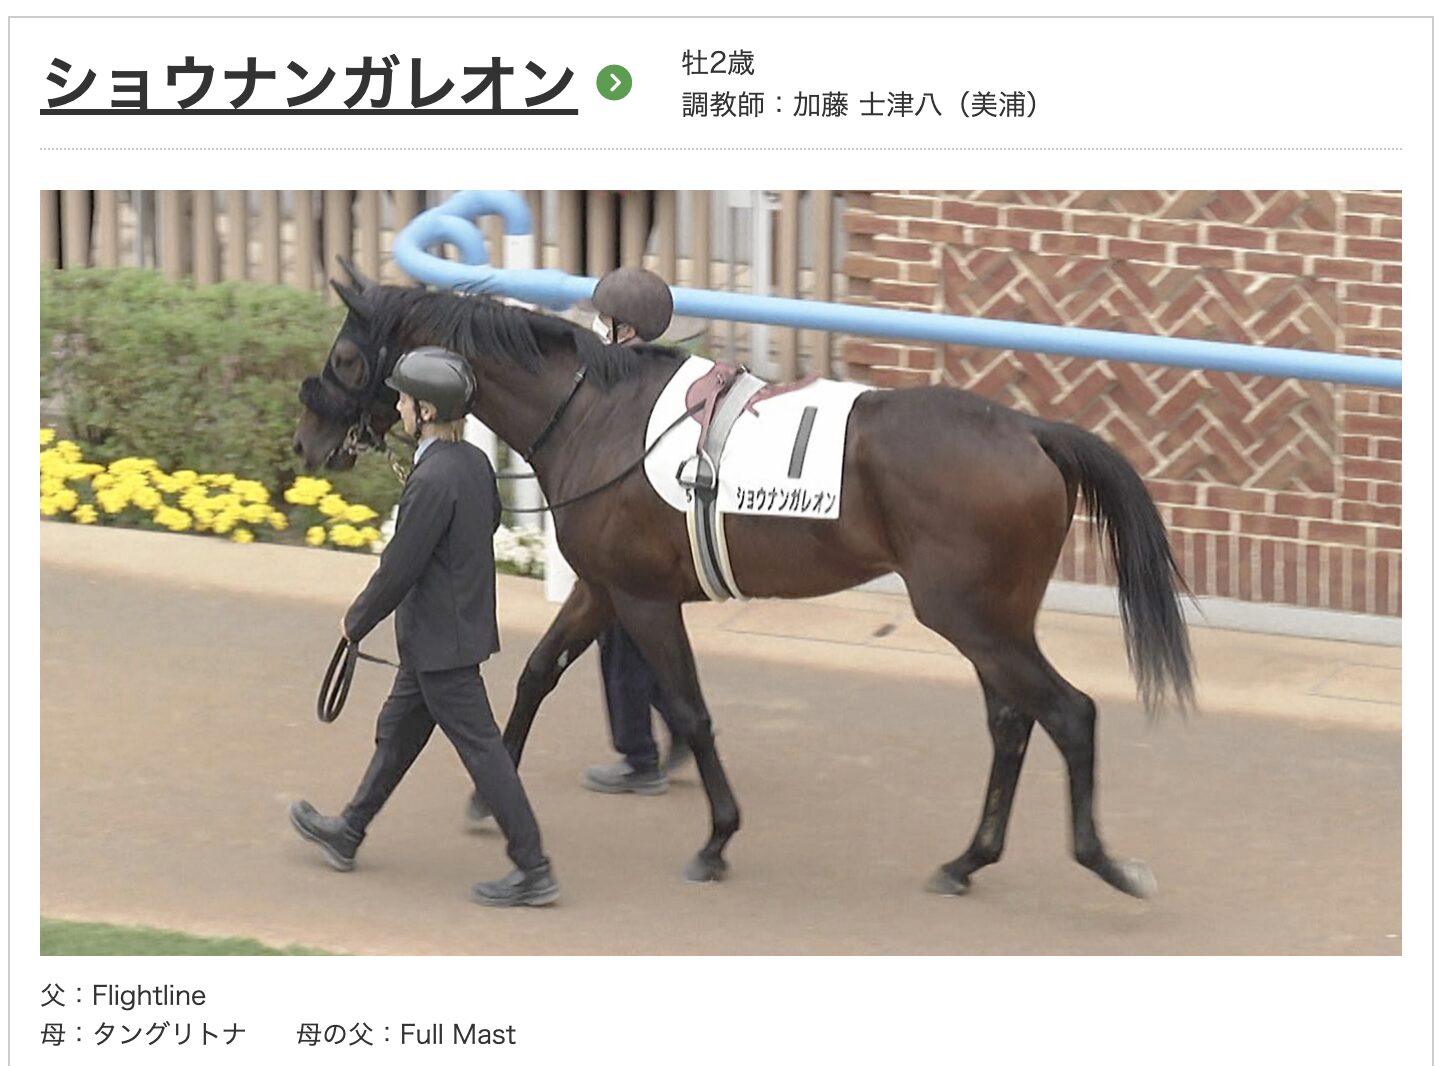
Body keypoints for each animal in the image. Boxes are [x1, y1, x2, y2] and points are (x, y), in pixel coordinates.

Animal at [293, 261, 1194, 899]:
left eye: (346, 355)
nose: (306, 440)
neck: (594, 416)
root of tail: (1034, 434)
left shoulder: (645, 600)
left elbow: (690, 711)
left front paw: (717, 839)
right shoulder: (602, 589)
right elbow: (537, 673)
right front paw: (489, 796)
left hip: (973, 618)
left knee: (1068, 715)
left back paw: (1105, 862)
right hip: (988, 621)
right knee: (1012, 723)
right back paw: (967, 861)